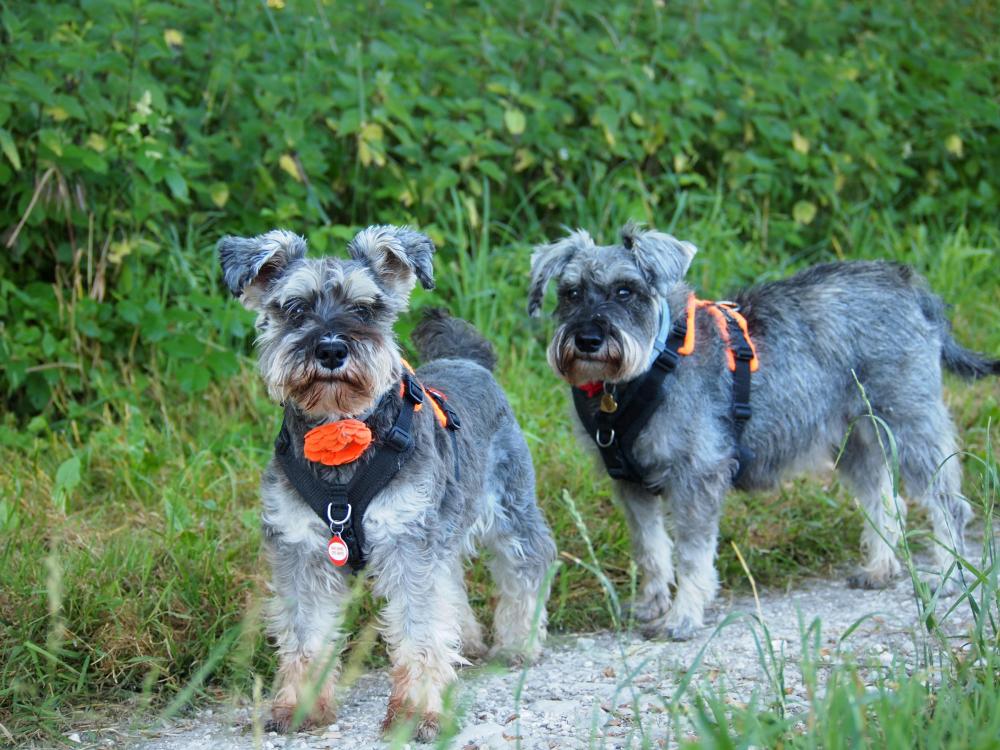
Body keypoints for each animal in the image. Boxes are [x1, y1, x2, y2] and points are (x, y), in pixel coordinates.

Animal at [218, 228, 556, 740]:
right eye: (295, 308)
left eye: (364, 308)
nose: (331, 350)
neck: (340, 436)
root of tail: (468, 360)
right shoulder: (301, 550)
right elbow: (305, 633)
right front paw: (298, 707)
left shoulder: (406, 543)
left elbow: (420, 631)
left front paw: (417, 713)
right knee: (452, 579)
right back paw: (469, 641)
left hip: (510, 508)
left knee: (527, 565)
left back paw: (518, 643)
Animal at [528, 222, 996, 640]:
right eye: (570, 293)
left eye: (626, 290)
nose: (588, 339)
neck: (643, 370)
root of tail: (908, 283)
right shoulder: (631, 485)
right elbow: (652, 551)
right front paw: (651, 603)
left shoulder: (696, 477)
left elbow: (692, 556)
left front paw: (682, 617)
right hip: (855, 443)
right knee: (884, 501)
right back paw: (880, 568)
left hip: (910, 425)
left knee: (948, 504)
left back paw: (950, 575)